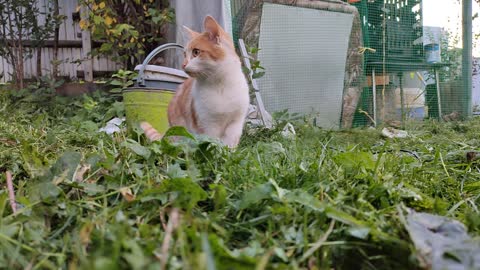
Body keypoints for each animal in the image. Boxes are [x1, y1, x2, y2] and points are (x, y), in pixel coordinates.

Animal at [142, 15, 248, 149]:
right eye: (184, 54)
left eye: (196, 52)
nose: (183, 65)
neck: (220, 84)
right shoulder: (208, 126)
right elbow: (212, 145)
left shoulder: (235, 125)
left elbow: (229, 146)